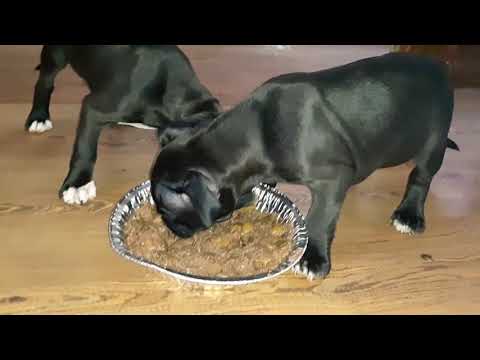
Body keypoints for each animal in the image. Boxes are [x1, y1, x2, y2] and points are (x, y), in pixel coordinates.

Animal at [25, 44, 220, 205]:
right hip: (56, 55)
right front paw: (78, 184)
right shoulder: (94, 109)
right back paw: (39, 116)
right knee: (45, 81)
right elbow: (85, 148)